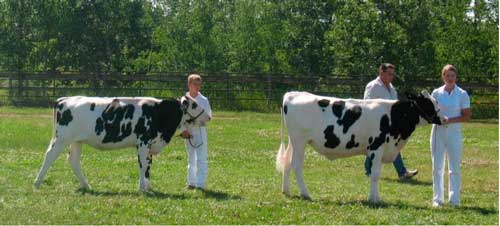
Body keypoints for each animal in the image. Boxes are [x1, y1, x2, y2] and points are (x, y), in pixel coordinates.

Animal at [33, 95, 209, 191]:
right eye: (194, 104)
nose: (208, 117)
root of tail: (64, 99)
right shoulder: (143, 141)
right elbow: (143, 165)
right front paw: (141, 188)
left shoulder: (149, 144)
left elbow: (148, 165)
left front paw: (147, 187)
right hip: (62, 138)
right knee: (49, 156)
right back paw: (37, 183)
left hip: (77, 141)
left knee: (73, 160)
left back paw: (86, 185)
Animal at [278, 90, 446, 203]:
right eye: (428, 104)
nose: (444, 119)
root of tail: (292, 94)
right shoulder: (377, 147)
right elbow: (375, 175)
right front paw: (373, 199)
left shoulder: (383, 149)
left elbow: (376, 173)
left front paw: (376, 197)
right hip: (300, 140)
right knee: (297, 166)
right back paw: (305, 194)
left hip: (294, 142)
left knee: (287, 163)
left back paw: (286, 191)